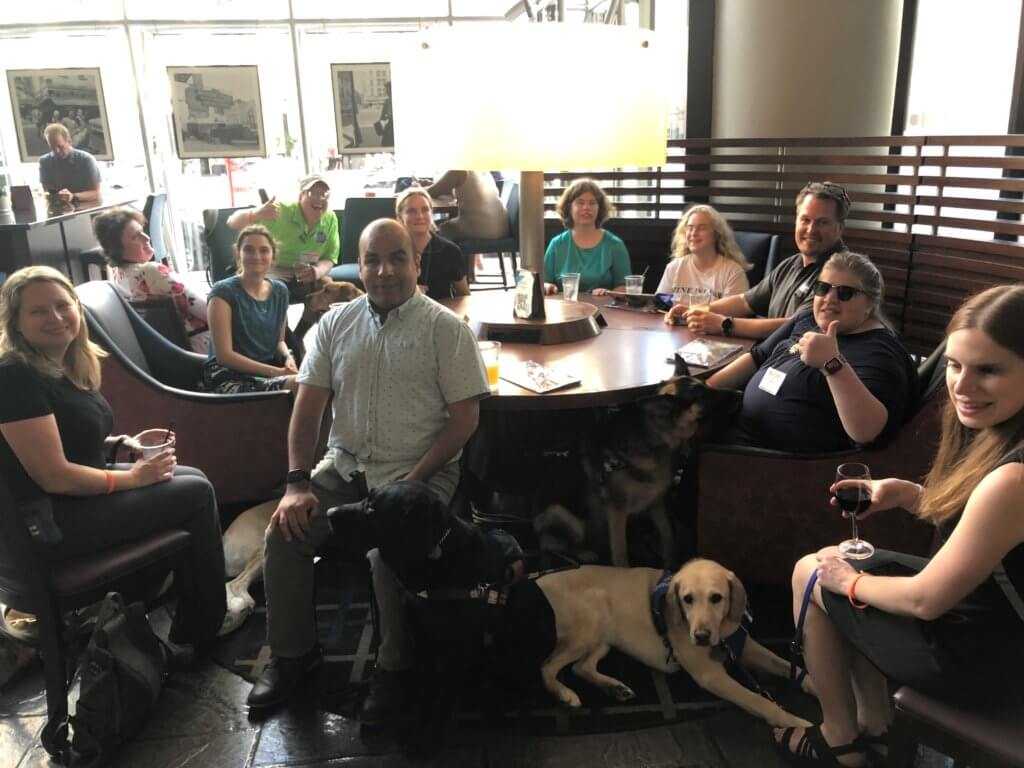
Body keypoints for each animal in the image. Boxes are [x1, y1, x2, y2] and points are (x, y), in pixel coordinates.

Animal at [532, 358, 741, 569]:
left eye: (707, 386)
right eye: (701, 395)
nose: (740, 394)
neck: (654, 440)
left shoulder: (656, 503)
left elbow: (667, 535)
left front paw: (669, 563)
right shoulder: (617, 511)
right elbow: (620, 551)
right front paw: (625, 571)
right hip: (562, 515)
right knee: (551, 544)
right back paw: (584, 553)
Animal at [536, 561, 815, 729]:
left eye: (717, 598)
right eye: (687, 599)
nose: (701, 636)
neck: (721, 634)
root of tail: (538, 580)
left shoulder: (745, 647)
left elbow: (785, 664)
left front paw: (811, 683)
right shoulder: (711, 674)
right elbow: (760, 701)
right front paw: (798, 723)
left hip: (604, 637)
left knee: (581, 667)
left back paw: (615, 688)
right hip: (589, 627)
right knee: (547, 667)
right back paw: (565, 694)